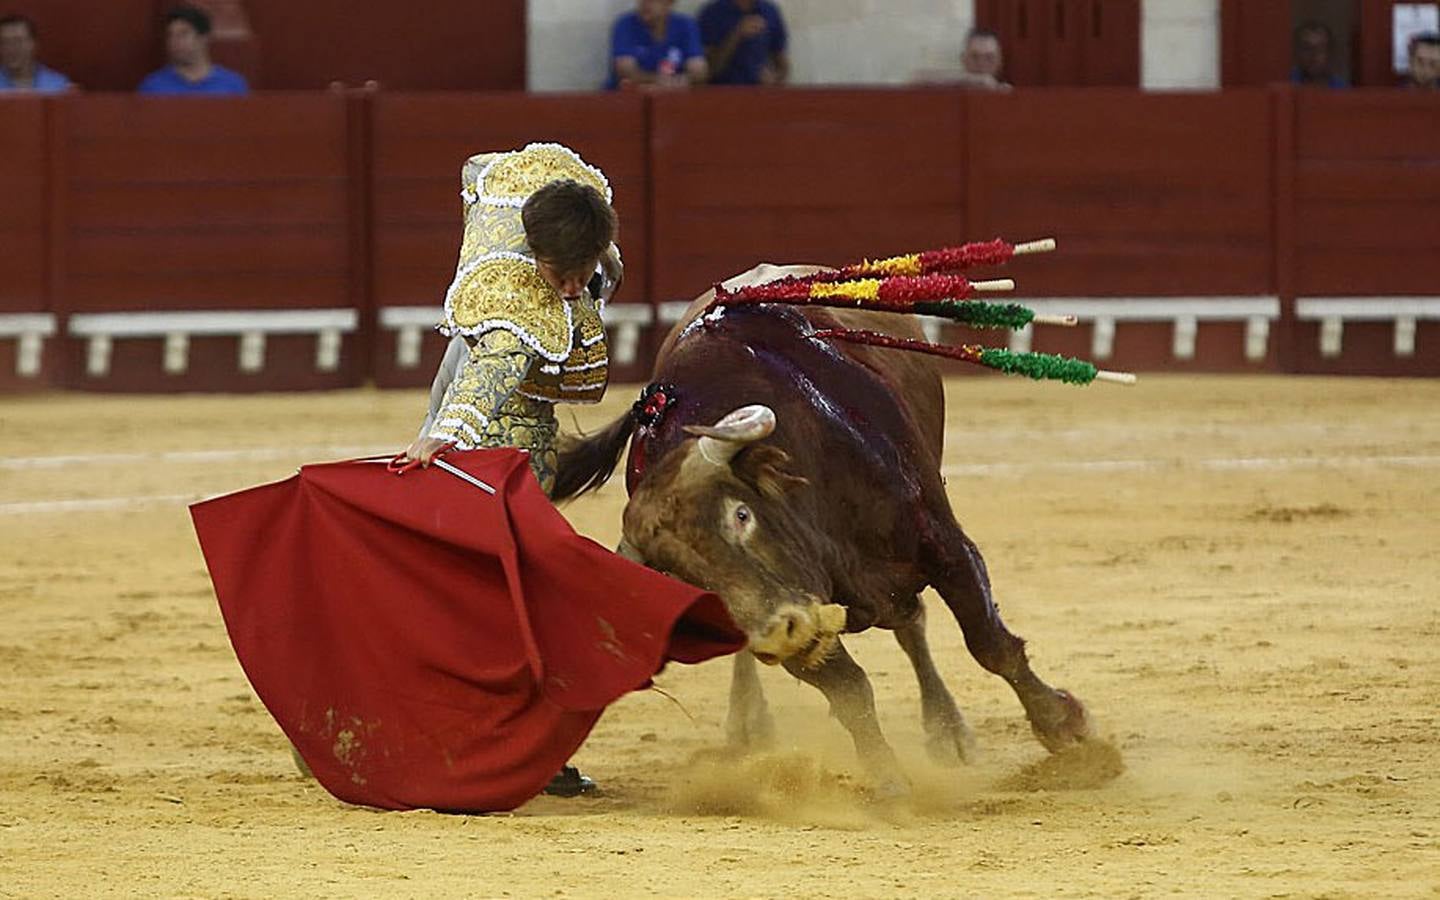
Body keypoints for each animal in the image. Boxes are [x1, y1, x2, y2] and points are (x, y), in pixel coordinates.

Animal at [552, 262, 1088, 794]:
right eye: (686, 577)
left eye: (742, 515)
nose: (778, 632)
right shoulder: (799, 622)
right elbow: (850, 692)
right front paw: (888, 781)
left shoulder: (944, 544)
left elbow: (988, 643)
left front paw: (1066, 727)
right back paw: (749, 722)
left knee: (913, 624)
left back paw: (949, 731)